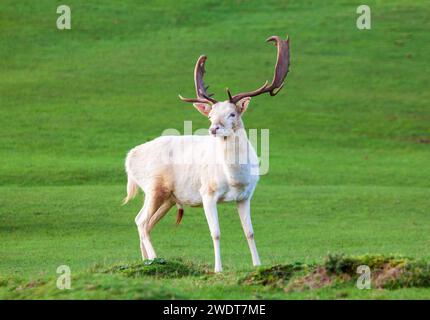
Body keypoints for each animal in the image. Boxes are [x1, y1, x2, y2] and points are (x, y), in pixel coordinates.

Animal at [125, 35, 292, 272]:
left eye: (232, 114)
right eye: (211, 115)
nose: (214, 128)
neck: (235, 180)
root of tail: (129, 157)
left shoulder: (246, 196)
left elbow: (249, 232)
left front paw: (257, 264)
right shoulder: (207, 193)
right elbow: (216, 233)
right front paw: (218, 269)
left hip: (168, 198)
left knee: (145, 223)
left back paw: (145, 260)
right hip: (154, 188)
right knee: (140, 221)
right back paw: (156, 259)